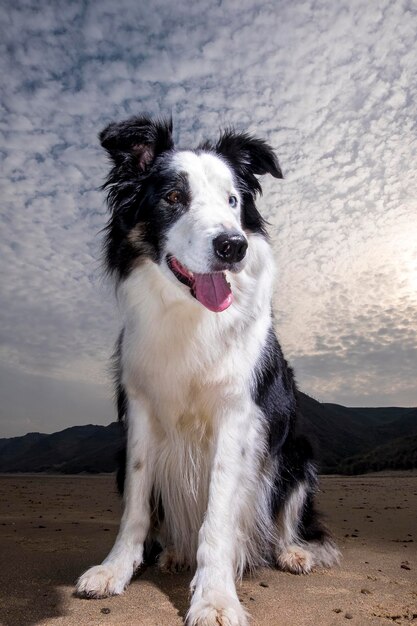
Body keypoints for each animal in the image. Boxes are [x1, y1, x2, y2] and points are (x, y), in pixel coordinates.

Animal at [75, 114, 338, 620]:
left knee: (288, 518)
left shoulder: (238, 415)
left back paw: (292, 552)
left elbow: (217, 516)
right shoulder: (140, 411)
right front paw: (115, 569)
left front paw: (215, 597)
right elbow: (136, 502)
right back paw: (176, 552)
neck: (190, 313)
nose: (233, 246)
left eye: (233, 200)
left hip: (297, 453)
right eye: (174, 198)